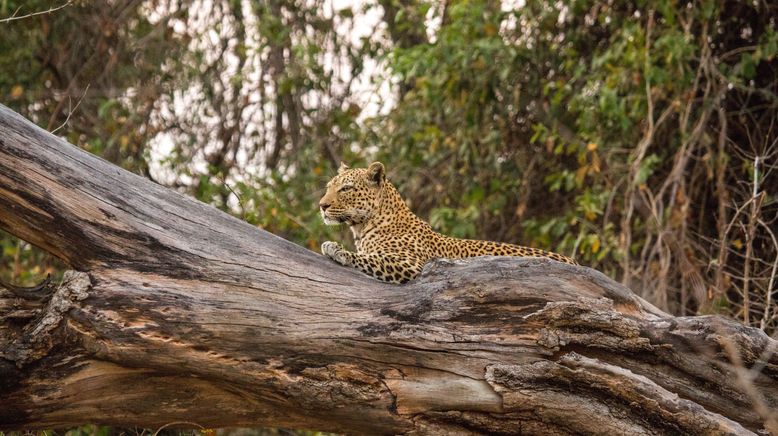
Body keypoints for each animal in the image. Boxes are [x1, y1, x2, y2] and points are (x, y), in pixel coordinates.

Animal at [316, 162, 576, 284]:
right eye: (328, 187)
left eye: (346, 189)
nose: (322, 205)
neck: (362, 228)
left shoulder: (411, 264)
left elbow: (368, 258)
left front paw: (337, 249)